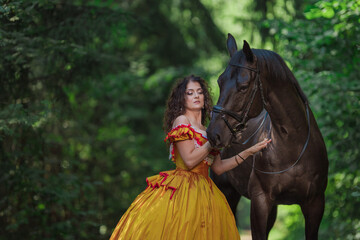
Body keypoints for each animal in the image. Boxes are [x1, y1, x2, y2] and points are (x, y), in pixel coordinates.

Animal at [207, 34, 328, 240]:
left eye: (243, 86)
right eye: (220, 82)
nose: (214, 133)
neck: (292, 145)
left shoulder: (315, 204)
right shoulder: (260, 202)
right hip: (227, 193)